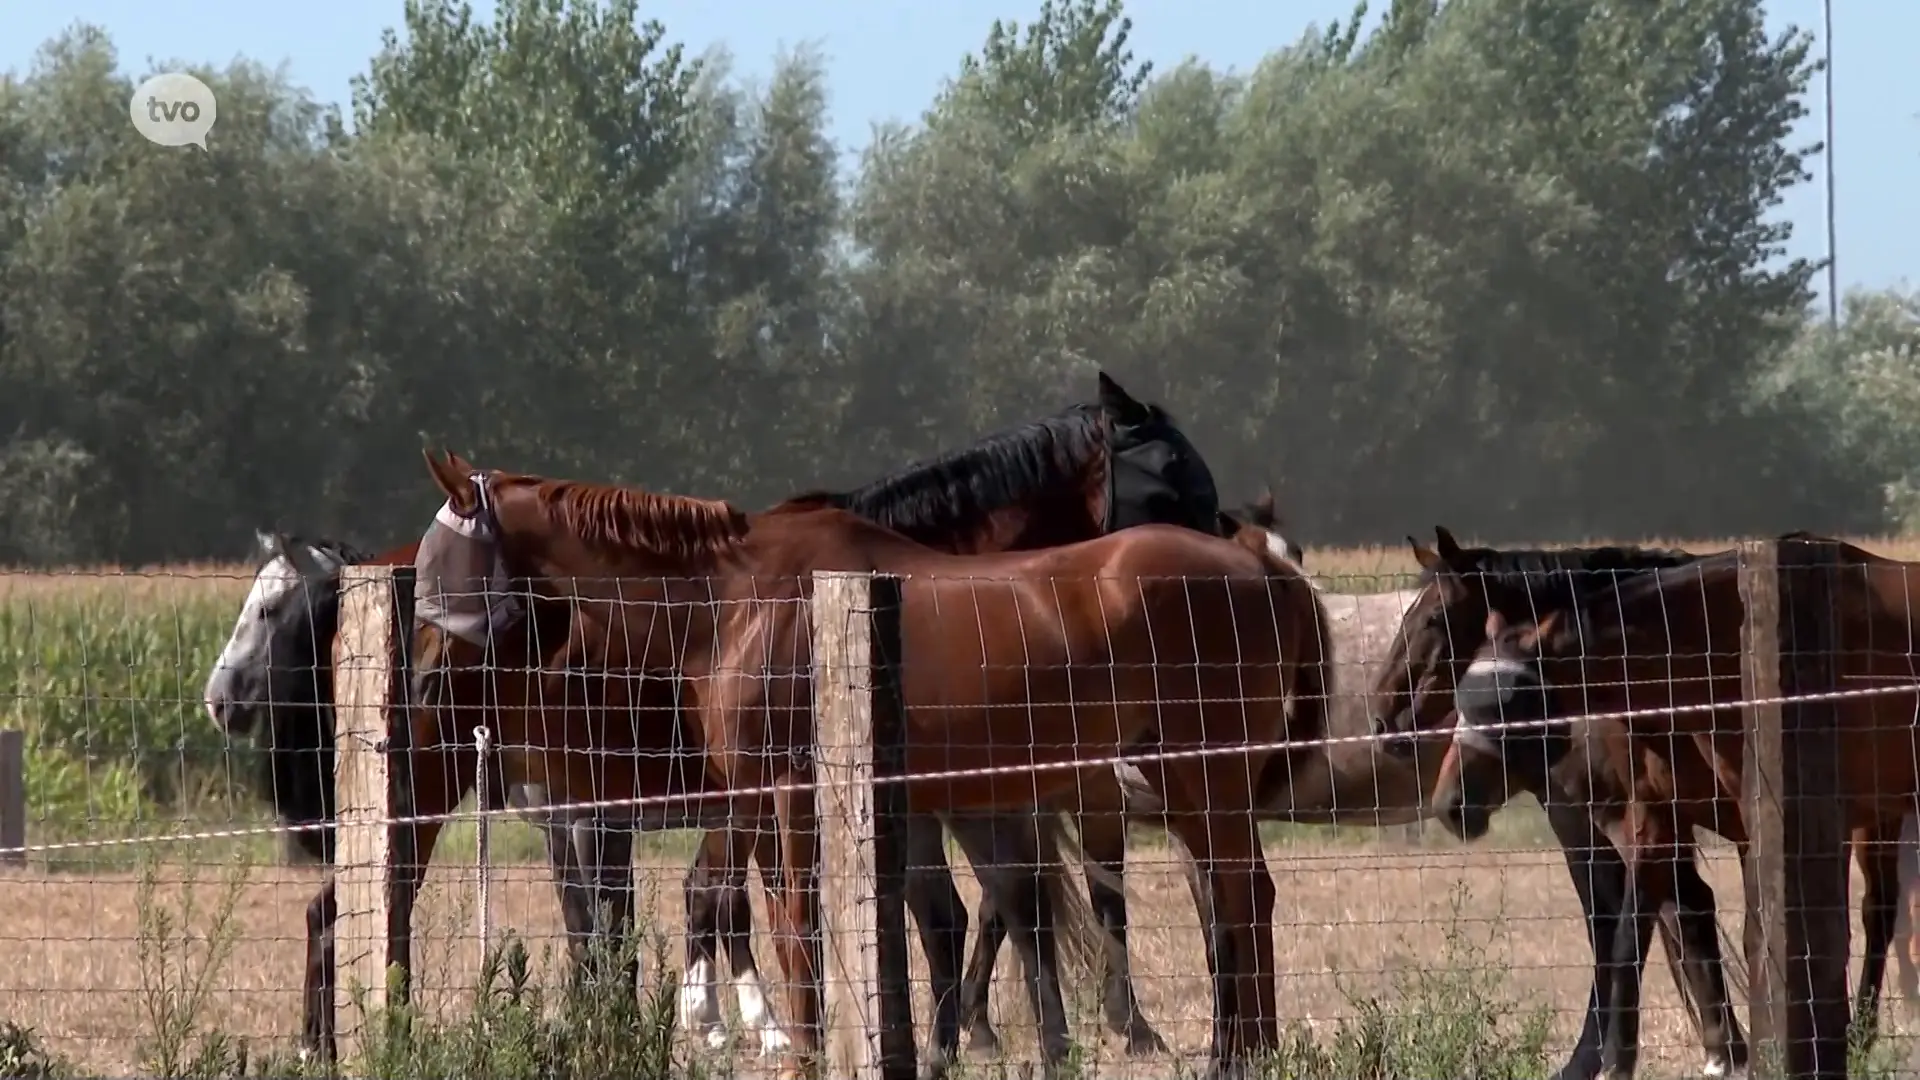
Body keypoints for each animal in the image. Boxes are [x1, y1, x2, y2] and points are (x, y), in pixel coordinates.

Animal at [407, 450, 1334, 1080]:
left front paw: (805, 1048)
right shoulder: (780, 801)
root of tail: (1258, 565)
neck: (737, 600)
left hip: (1200, 780)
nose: (419, 676)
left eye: (440, 560)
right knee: (1232, 899)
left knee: (1237, 897)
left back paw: (1237, 1054)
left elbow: (800, 927)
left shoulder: (789, 793)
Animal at [1409, 533, 1919, 1079]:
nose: (1450, 802)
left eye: (1513, 705)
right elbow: (1632, 939)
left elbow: (1765, 935)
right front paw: (1619, 1062)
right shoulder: (1652, 821)